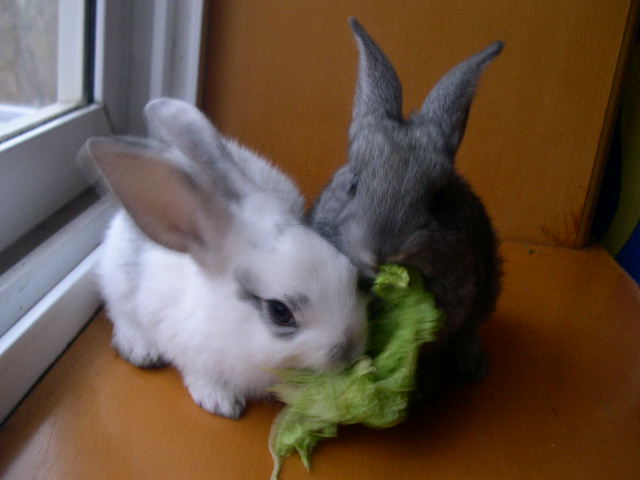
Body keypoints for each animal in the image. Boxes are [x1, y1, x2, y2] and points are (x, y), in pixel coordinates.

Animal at [80, 98, 367, 419]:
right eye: (279, 311)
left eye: (351, 275)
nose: (350, 350)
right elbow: (201, 374)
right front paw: (220, 402)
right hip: (118, 282)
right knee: (121, 315)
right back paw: (141, 349)